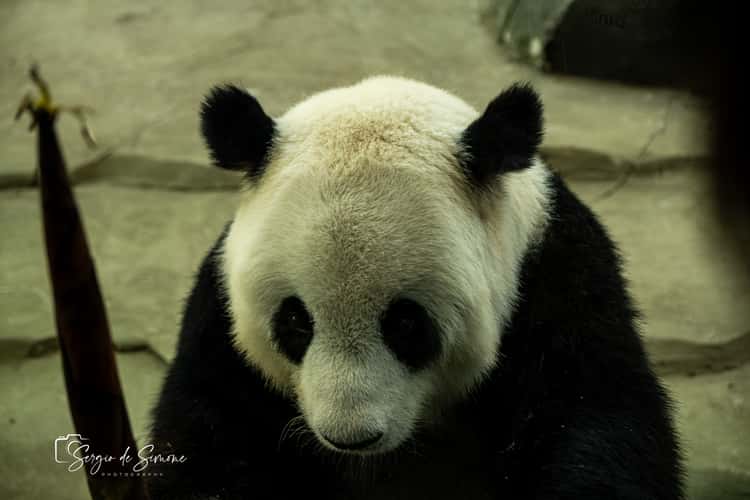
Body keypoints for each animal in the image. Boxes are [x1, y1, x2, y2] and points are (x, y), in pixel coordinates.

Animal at [147, 76, 683, 499]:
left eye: (405, 324)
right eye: (295, 321)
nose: (351, 438)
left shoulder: (557, 282)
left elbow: (595, 417)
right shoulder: (219, 320)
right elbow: (206, 438)